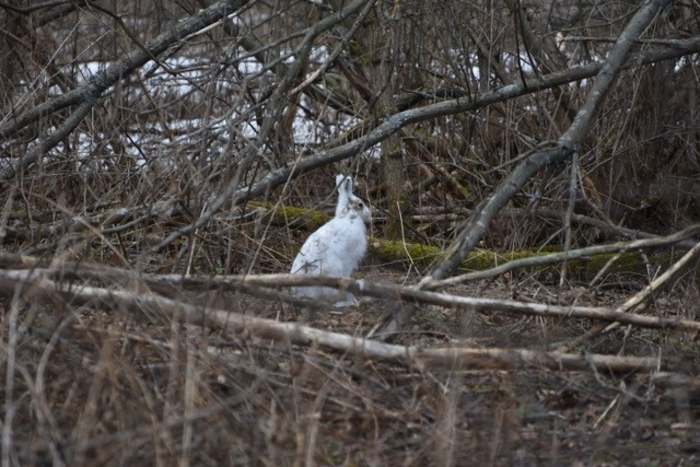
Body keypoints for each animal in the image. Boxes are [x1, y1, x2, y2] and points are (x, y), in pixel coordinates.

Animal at [290, 175, 371, 307]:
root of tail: (298, 293)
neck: (349, 216)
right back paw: (348, 303)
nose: (370, 215)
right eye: (360, 204)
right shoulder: (348, 262)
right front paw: (354, 301)